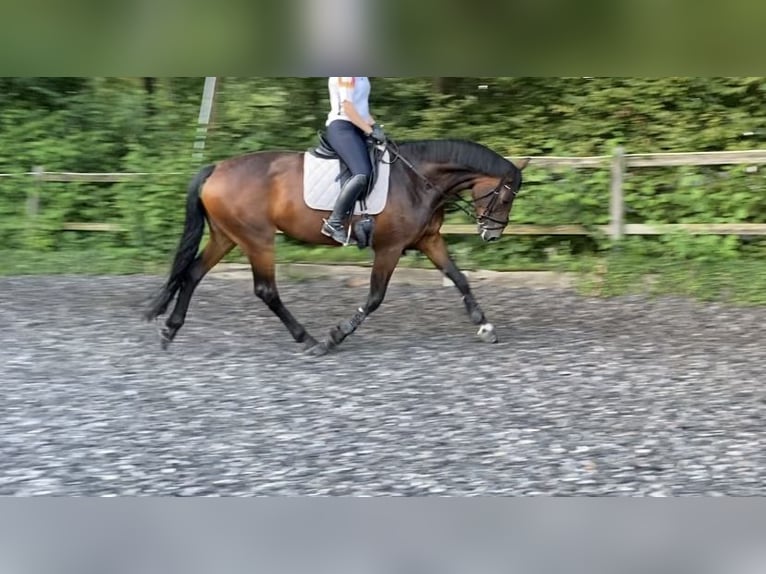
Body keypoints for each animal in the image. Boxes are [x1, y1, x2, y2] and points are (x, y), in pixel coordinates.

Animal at [142, 138, 528, 358]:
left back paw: (170, 331)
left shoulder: (428, 239)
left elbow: (459, 278)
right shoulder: (389, 248)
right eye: (506, 196)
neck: (417, 179)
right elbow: (374, 298)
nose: (492, 235)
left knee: (192, 274)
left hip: (226, 235)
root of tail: (216, 168)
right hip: (258, 239)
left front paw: (484, 326)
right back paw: (309, 340)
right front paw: (336, 336)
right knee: (266, 290)